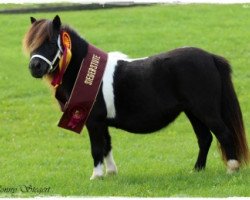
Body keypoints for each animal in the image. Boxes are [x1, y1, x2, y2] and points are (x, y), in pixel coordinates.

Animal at [23, 14, 248, 179]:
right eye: (32, 43)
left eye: (50, 42)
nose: (35, 67)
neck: (84, 71)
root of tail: (210, 57)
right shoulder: (102, 122)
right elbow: (107, 145)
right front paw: (111, 173)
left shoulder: (93, 121)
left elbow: (97, 148)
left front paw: (96, 176)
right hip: (192, 112)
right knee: (205, 138)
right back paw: (196, 170)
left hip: (205, 110)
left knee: (223, 133)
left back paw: (232, 169)